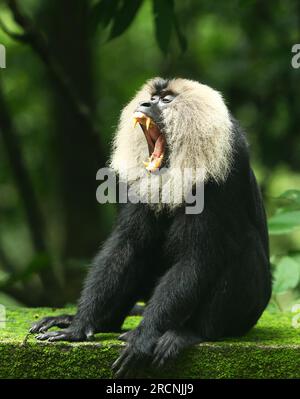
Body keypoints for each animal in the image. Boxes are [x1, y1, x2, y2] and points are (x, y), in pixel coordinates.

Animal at [29, 77, 272, 378]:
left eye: (165, 101)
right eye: (153, 98)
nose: (145, 103)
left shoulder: (224, 168)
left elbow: (197, 258)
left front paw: (144, 335)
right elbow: (127, 244)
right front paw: (79, 326)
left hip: (248, 313)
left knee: (244, 246)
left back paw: (188, 333)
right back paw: (99, 323)